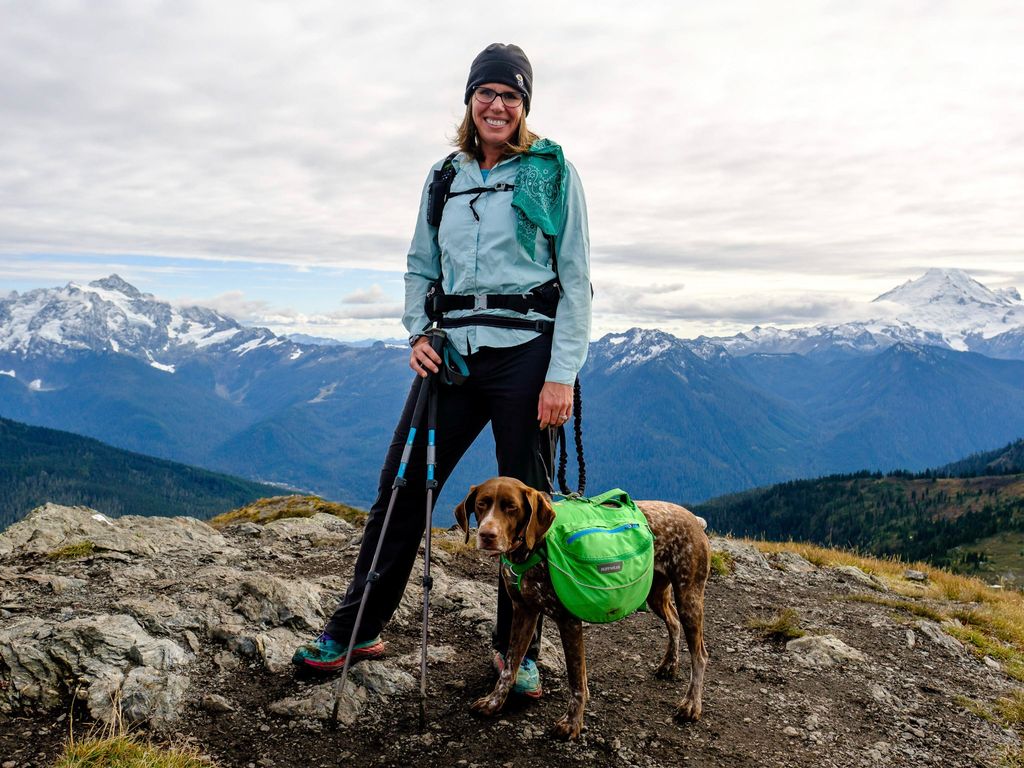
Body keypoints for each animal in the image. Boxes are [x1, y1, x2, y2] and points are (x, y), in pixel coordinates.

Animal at [456, 479, 712, 741]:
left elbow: (576, 680)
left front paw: (572, 723)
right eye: (482, 504)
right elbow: (509, 666)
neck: (534, 549)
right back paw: (669, 664)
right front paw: (493, 702)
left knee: (700, 654)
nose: (487, 535)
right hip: (655, 594)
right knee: (673, 621)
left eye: (511, 507)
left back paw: (691, 704)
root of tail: (694, 519)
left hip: (689, 595)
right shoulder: (524, 611)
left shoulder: (568, 620)